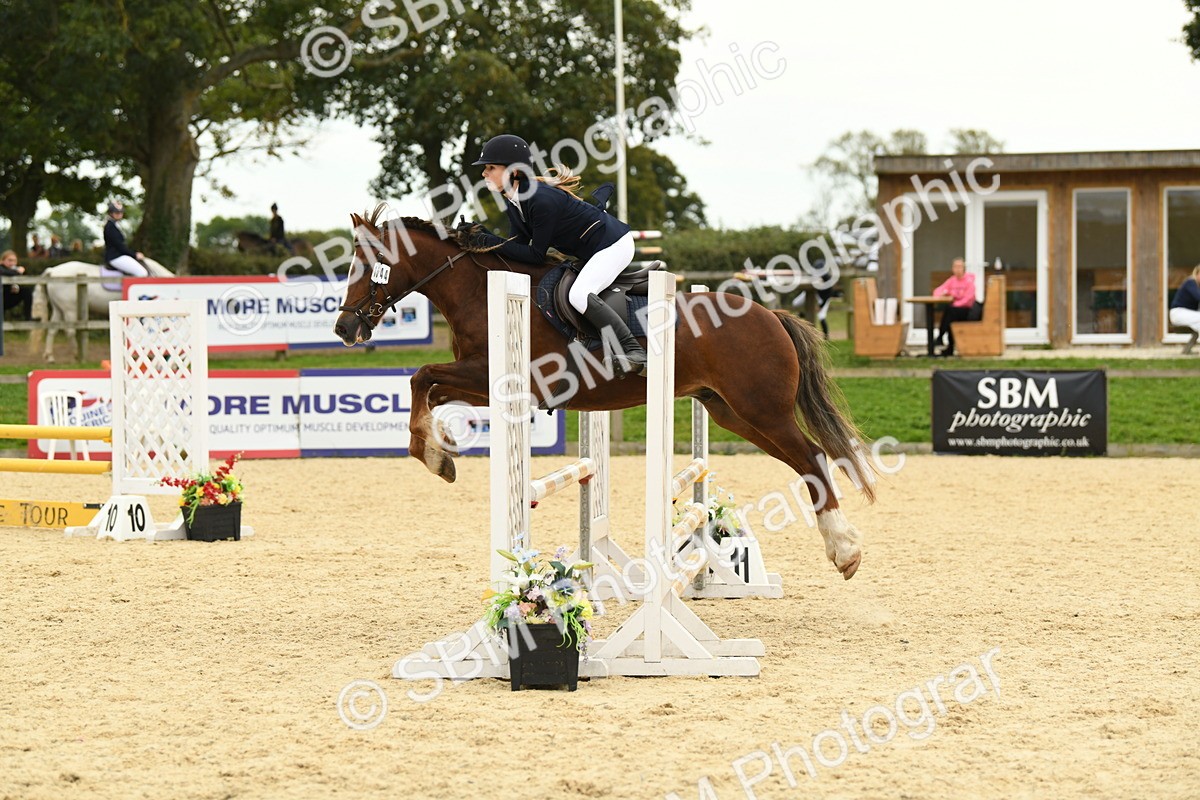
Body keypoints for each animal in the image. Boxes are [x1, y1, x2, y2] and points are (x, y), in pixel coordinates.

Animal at [30, 258, 173, 362]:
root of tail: (52, 271)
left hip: (58, 309)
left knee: (52, 330)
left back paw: (50, 357)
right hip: (69, 309)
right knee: (70, 331)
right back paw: (77, 356)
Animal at [333, 208, 874, 580]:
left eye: (369, 266)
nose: (343, 328)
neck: (477, 291)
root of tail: (771, 316)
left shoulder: (502, 377)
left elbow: (421, 376)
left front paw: (432, 454)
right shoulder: (487, 382)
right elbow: (428, 388)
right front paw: (436, 452)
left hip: (762, 410)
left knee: (812, 457)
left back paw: (845, 550)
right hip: (730, 413)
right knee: (806, 460)